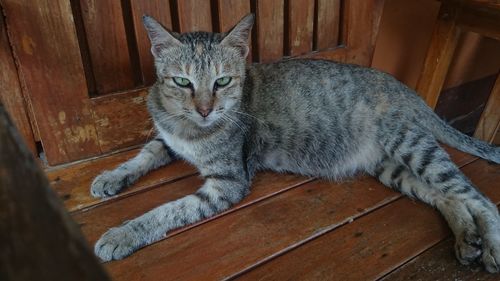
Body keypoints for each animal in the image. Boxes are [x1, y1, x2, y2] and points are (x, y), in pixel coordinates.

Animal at [90, 13, 500, 272]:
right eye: (182, 82)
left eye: (222, 81)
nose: (205, 110)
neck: (190, 128)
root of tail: (406, 88)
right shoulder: (167, 141)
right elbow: (142, 155)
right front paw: (111, 177)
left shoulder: (228, 182)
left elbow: (168, 210)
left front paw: (123, 234)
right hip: (391, 167)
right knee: (448, 196)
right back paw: (467, 239)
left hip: (411, 146)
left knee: (479, 197)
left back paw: (491, 246)